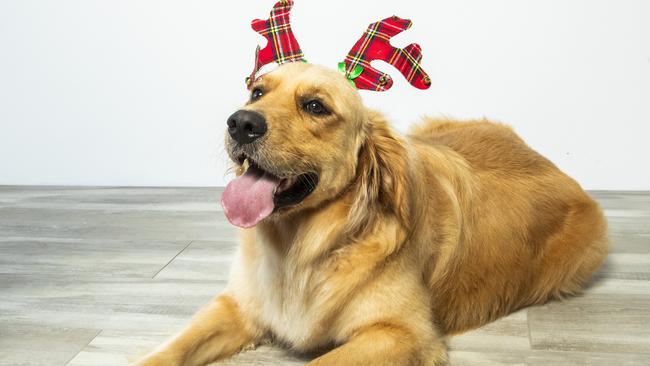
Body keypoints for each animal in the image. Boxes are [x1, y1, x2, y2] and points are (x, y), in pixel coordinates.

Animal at [133, 61, 608, 364]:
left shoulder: (404, 334)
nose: (241, 123)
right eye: (257, 91)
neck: (302, 248)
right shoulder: (239, 305)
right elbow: (170, 349)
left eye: (315, 106)